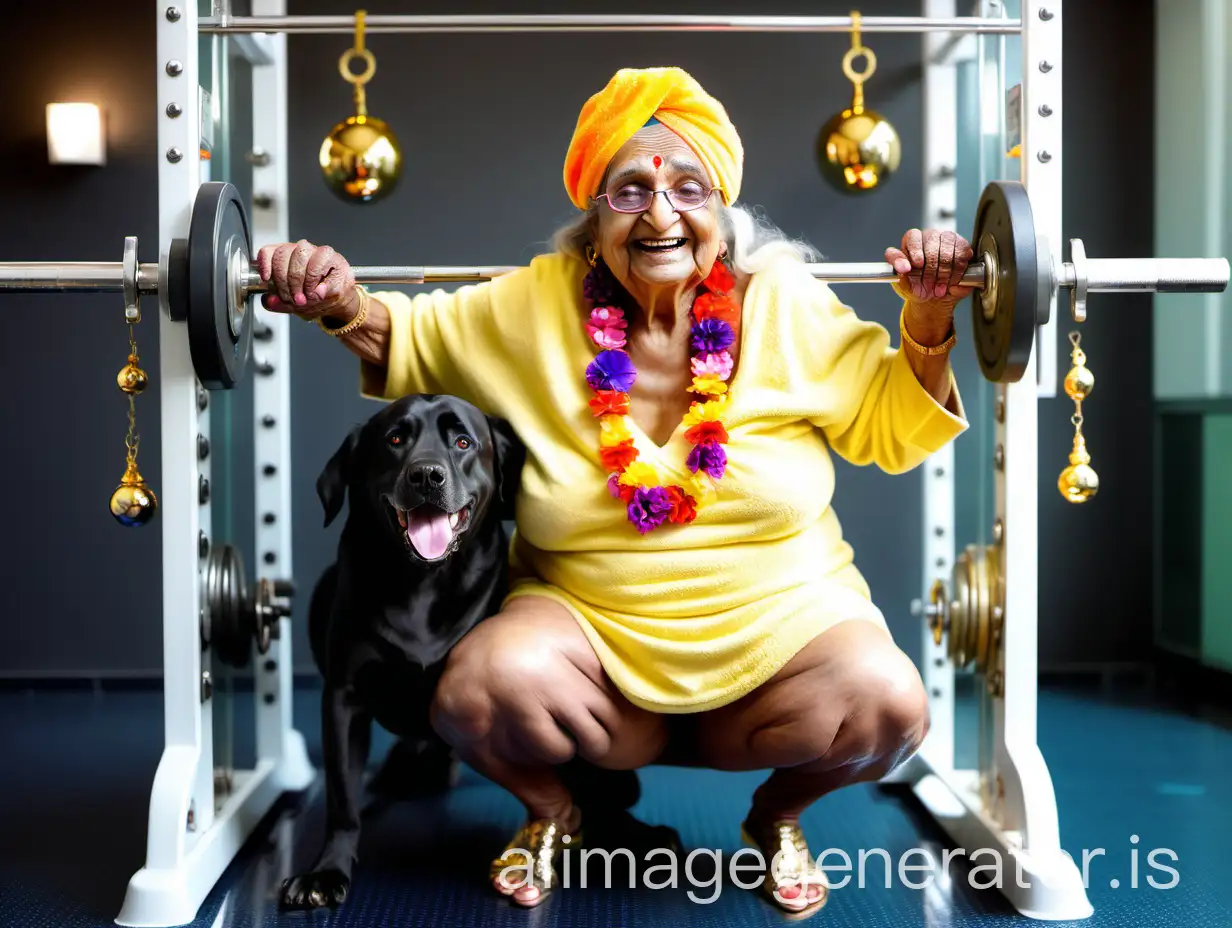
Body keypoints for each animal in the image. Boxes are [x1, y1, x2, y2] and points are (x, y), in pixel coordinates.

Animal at [282, 391, 522, 907]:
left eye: (463, 441)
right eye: (395, 440)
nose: (426, 475)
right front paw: (326, 871)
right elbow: (342, 798)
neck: (422, 581)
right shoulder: (344, 698)